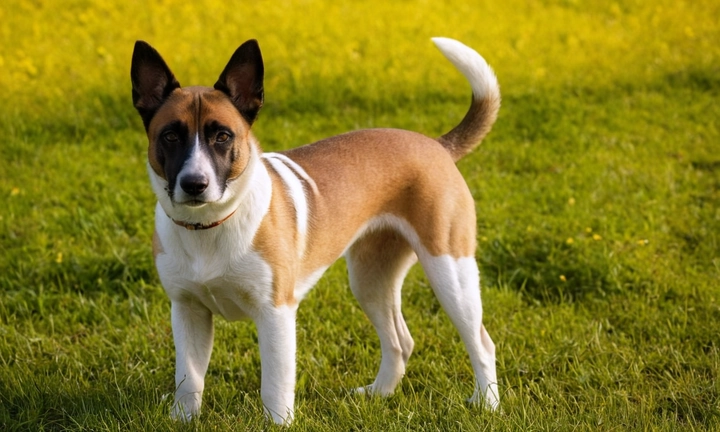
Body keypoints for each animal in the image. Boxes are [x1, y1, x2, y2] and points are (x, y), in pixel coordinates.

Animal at [129, 35, 500, 424]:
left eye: (223, 136)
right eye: (170, 136)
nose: (195, 184)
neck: (210, 226)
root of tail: (436, 145)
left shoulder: (275, 312)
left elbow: (275, 387)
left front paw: (277, 425)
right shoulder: (187, 309)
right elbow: (189, 378)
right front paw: (182, 419)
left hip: (450, 270)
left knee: (481, 342)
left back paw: (487, 403)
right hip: (370, 277)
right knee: (400, 341)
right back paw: (378, 394)